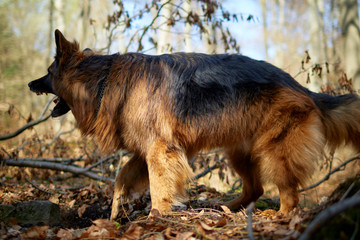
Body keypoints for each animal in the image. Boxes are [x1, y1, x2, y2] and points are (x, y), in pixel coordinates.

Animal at [29, 29, 360, 219]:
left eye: (49, 72)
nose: (31, 84)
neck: (103, 80)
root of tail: (303, 89)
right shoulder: (147, 150)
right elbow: (122, 178)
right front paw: (116, 211)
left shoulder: (160, 150)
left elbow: (158, 186)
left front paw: (157, 216)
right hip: (239, 152)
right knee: (255, 189)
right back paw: (228, 207)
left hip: (276, 152)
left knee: (289, 193)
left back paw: (280, 216)